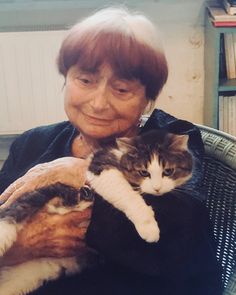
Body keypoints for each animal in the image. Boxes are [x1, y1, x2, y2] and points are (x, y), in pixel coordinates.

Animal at [0, 130, 193, 295]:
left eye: (168, 171)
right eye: (143, 172)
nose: (157, 188)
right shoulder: (98, 168)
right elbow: (124, 193)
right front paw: (148, 226)